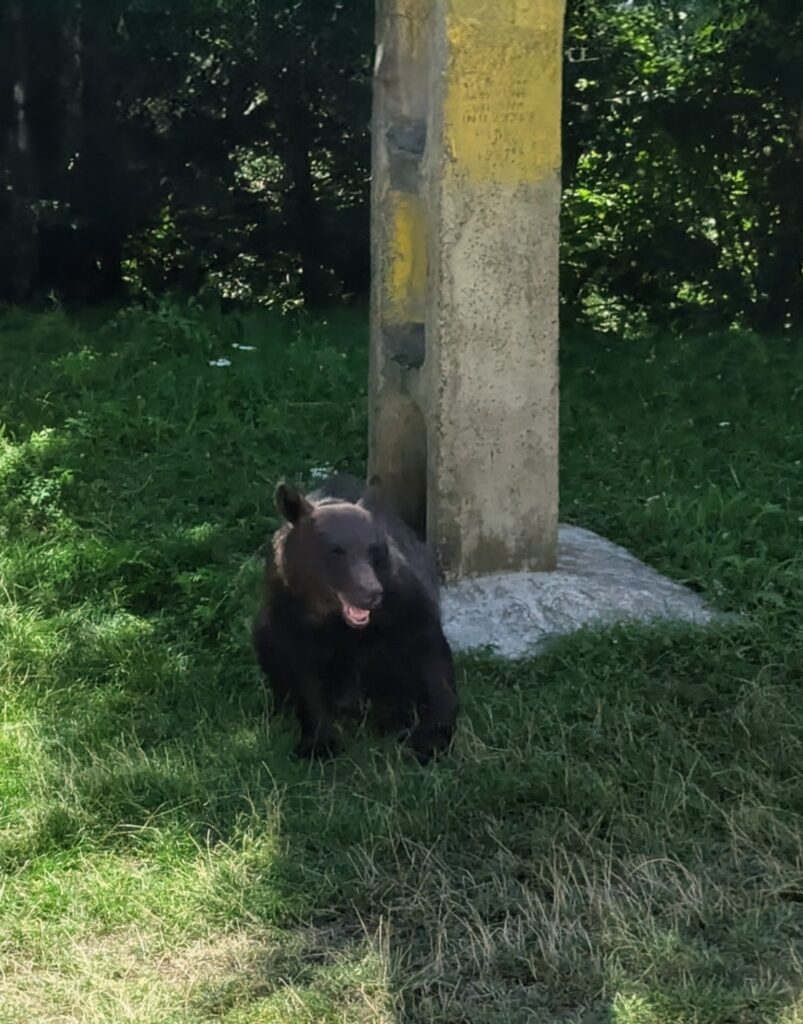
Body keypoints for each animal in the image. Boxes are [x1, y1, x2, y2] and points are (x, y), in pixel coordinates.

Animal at [252, 474, 458, 762]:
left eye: (374, 549)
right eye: (335, 550)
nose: (371, 593)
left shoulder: (404, 605)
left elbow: (431, 658)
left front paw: (429, 739)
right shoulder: (289, 613)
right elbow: (302, 674)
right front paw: (318, 742)